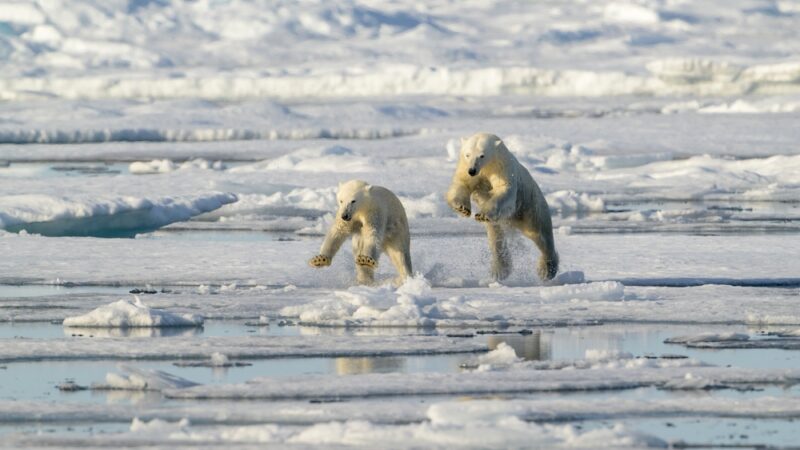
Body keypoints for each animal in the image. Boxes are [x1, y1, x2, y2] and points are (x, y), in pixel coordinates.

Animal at [446, 131, 560, 282]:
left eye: (481, 155)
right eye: (467, 154)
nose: (472, 170)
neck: (487, 167)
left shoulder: (502, 168)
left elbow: (503, 191)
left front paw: (481, 214)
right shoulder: (466, 169)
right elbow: (462, 184)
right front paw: (461, 208)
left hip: (531, 207)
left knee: (539, 234)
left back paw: (546, 270)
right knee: (496, 236)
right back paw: (499, 270)